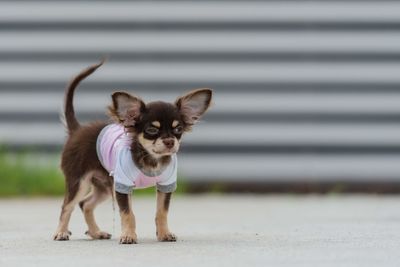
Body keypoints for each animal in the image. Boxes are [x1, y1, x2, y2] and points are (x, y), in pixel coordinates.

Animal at [54, 62, 214, 245]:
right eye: (151, 130)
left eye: (178, 129)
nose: (170, 141)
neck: (151, 159)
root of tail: (77, 130)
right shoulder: (122, 186)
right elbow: (128, 213)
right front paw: (128, 236)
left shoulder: (165, 185)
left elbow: (162, 212)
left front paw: (164, 234)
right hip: (79, 182)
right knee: (68, 205)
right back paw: (61, 232)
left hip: (105, 186)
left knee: (85, 204)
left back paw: (96, 233)